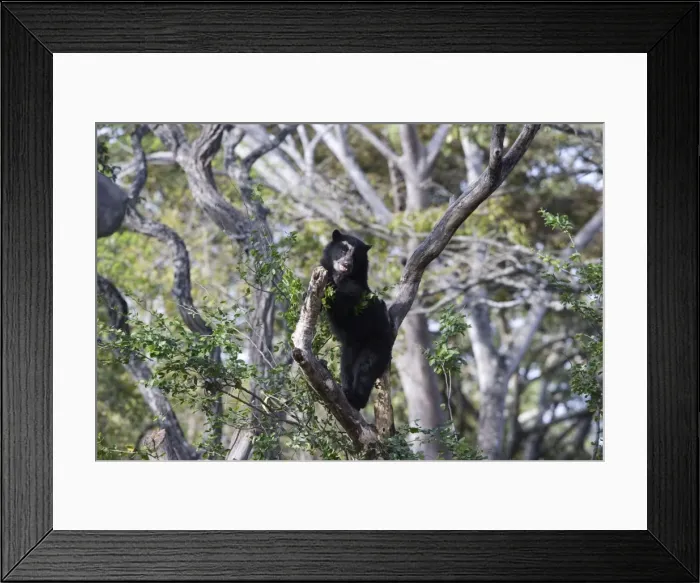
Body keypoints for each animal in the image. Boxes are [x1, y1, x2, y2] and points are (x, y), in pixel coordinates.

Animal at [320, 229, 394, 410]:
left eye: (355, 257)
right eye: (343, 250)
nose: (347, 264)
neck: (342, 275)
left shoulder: (356, 292)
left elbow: (346, 299)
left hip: (376, 345)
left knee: (365, 370)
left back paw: (355, 399)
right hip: (349, 349)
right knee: (346, 369)